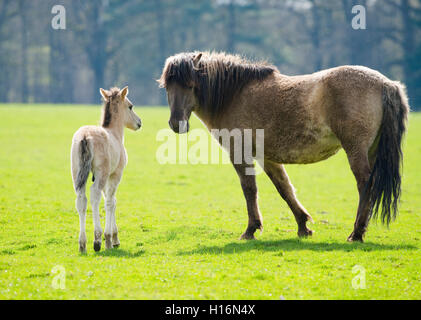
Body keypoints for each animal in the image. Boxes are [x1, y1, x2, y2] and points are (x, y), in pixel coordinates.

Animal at [69, 86, 140, 251]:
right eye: (130, 106)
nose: (139, 123)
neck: (115, 133)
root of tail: (85, 136)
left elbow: (110, 200)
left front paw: (114, 238)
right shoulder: (115, 174)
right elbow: (110, 201)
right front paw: (110, 238)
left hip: (76, 172)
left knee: (81, 199)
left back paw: (82, 243)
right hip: (101, 173)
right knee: (94, 195)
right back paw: (97, 239)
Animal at [158, 52, 406, 242]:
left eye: (191, 86)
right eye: (167, 87)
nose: (177, 123)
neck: (234, 95)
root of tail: (386, 84)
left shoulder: (240, 153)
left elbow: (249, 189)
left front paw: (250, 230)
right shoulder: (268, 157)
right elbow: (284, 189)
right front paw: (303, 227)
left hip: (356, 150)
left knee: (365, 184)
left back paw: (356, 233)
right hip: (371, 151)